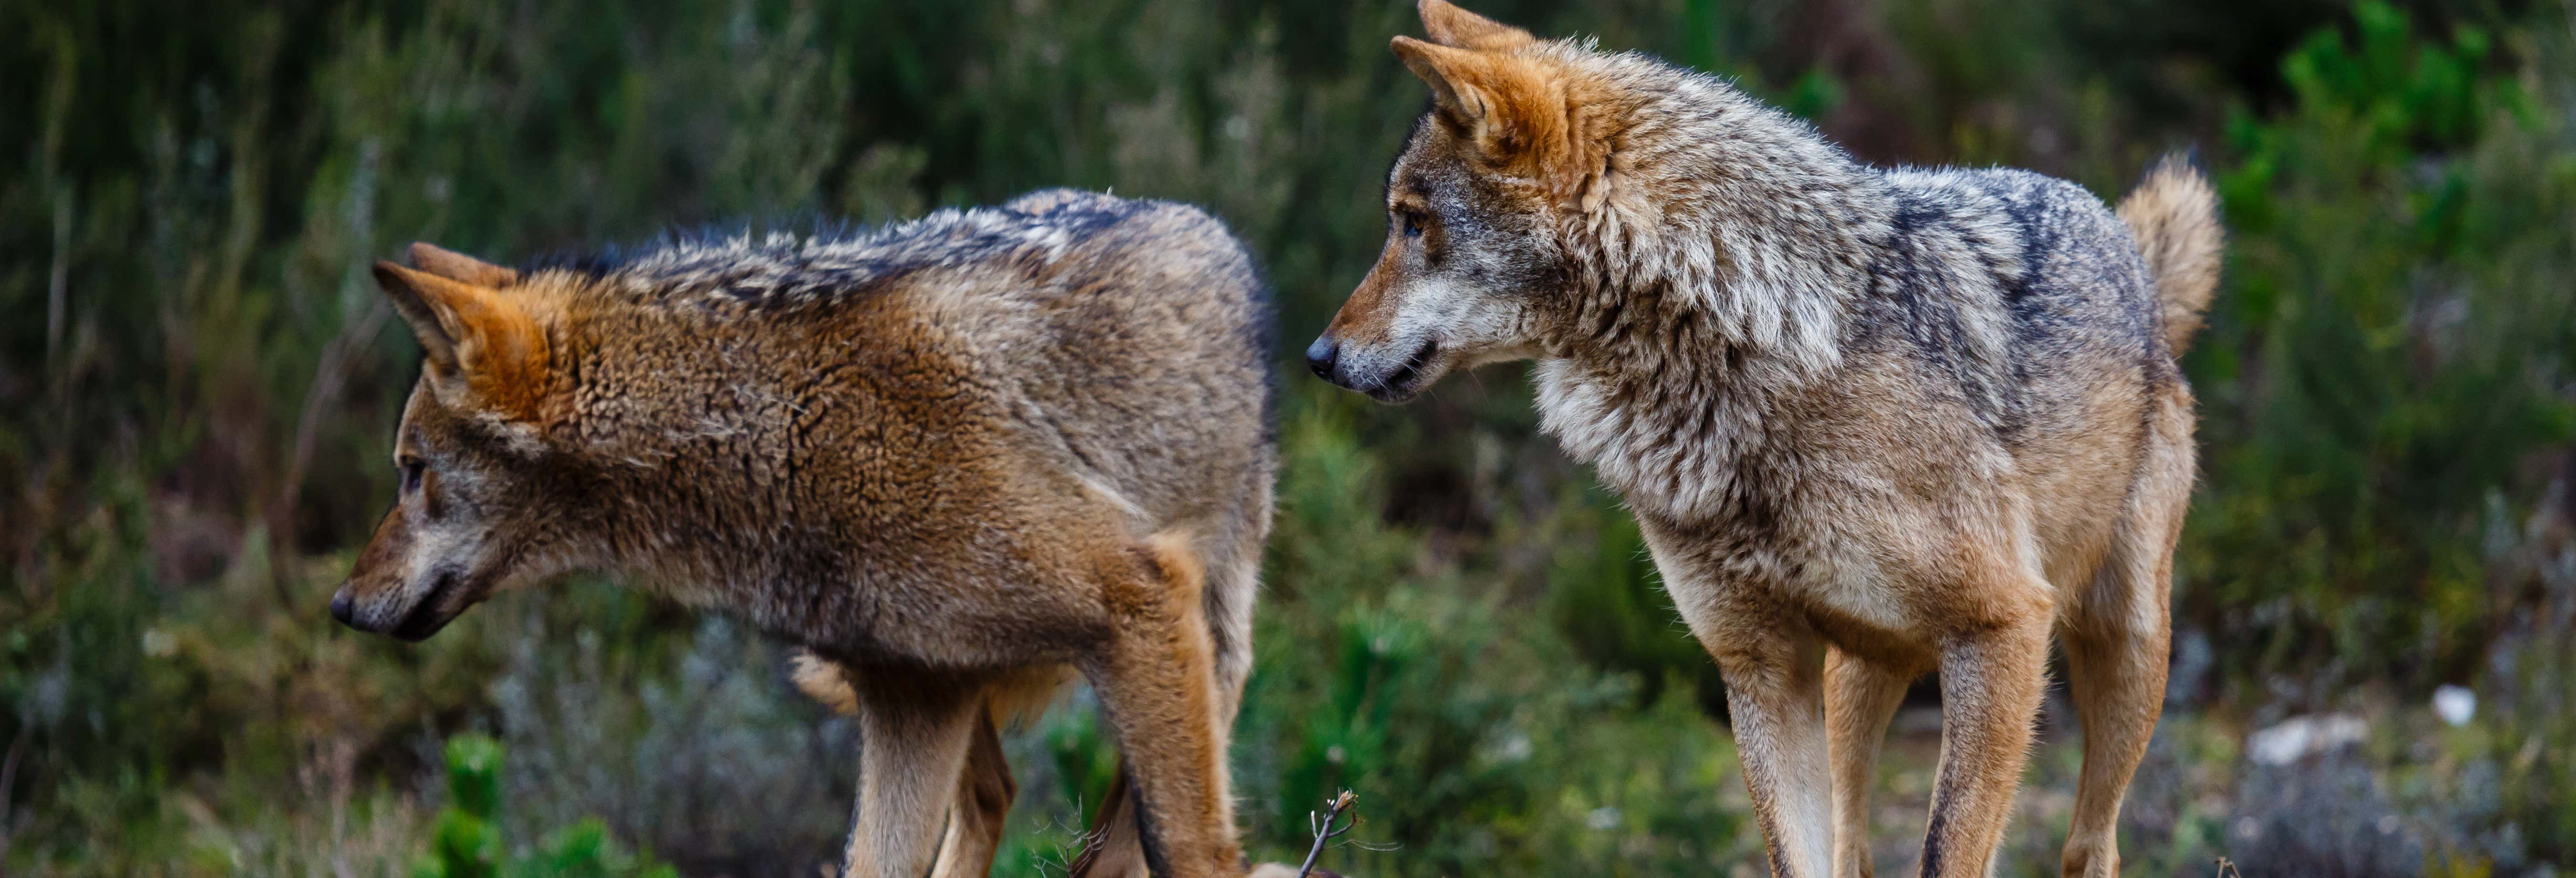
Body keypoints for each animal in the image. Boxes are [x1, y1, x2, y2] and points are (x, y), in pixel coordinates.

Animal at [330, 189, 1278, 875]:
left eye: (411, 471)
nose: (341, 604)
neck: (789, 429)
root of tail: (1208, 228)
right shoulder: (911, 695)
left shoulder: (1134, 601)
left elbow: (1189, 852)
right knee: (996, 796)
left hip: (1203, 645)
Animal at [1298, 3, 2225, 870]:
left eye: (1412, 223)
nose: (1317, 357)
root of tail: (2124, 243)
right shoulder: (1761, 668)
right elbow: (1796, 855)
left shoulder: (2002, 626)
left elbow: (1943, 853)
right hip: (1859, 681)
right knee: (1858, 844)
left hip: (2121, 653)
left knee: (2089, 845)